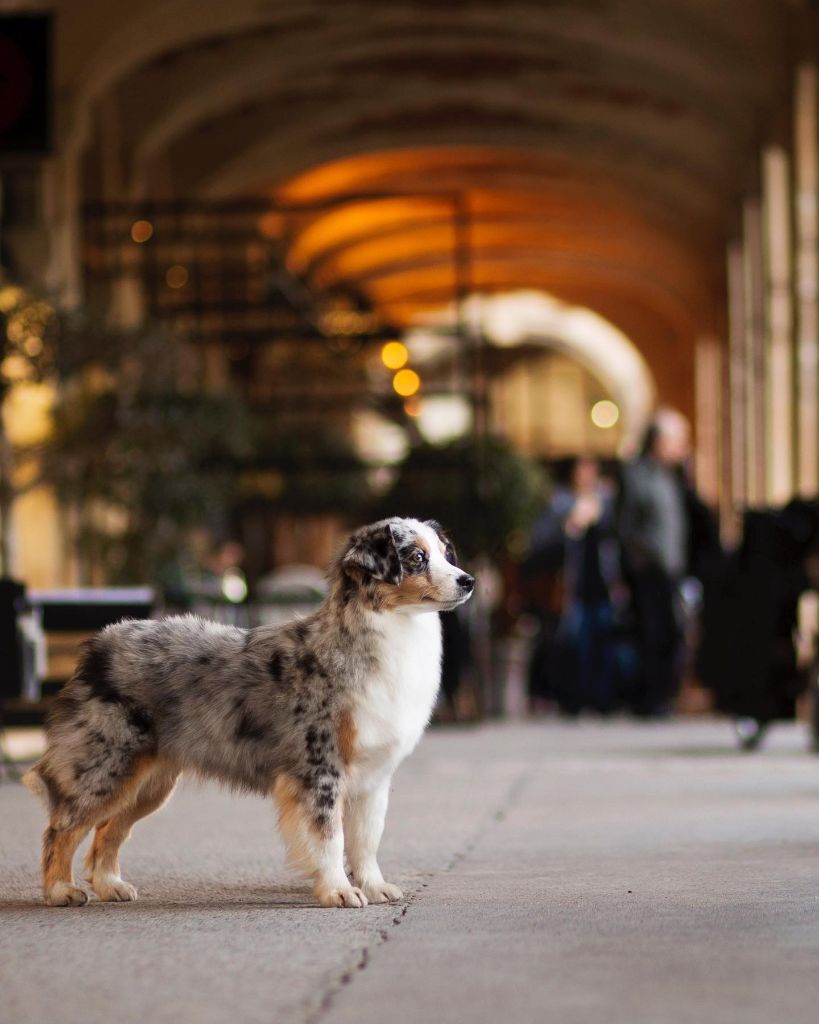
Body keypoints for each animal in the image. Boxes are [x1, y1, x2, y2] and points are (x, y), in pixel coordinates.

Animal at [24, 516, 472, 909]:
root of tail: (98, 645)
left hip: (149, 784)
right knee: (62, 827)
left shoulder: (372, 777)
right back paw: (61, 890)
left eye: (445, 553)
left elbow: (366, 840)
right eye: (416, 557)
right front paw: (338, 891)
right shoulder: (319, 767)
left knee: (108, 831)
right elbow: (330, 837)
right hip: (106, 768)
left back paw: (109, 885)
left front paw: (374, 886)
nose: (468, 580)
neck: (387, 634)